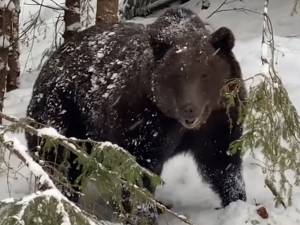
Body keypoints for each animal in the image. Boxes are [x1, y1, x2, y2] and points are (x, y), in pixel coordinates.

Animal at [26, 7, 246, 207]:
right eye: (175, 75)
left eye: (204, 74)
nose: (189, 109)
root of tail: (54, 57)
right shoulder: (144, 123)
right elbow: (139, 174)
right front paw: (143, 210)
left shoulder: (221, 116)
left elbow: (222, 161)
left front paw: (237, 200)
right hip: (64, 109)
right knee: (59, 158)